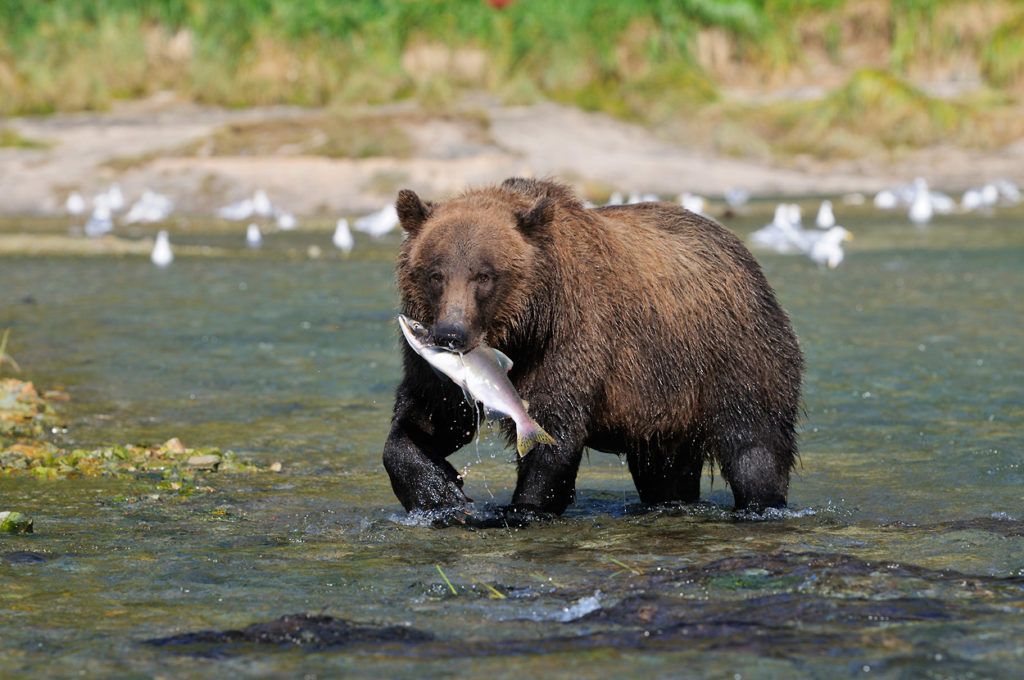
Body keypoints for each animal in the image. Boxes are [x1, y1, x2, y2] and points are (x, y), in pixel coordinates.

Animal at [382, 178, 798, 518]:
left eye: (484, 275)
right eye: (436, 274)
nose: (450, 335)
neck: (521, 330)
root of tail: (740, 251)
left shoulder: (571, 335)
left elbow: (554, 432)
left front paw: (523, 508)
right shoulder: (441, 372)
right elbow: (429, 418)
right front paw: (439, 491)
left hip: (732, 355)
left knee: (754, 447)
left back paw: (761, 503)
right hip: (666, 405)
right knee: (666, 472)